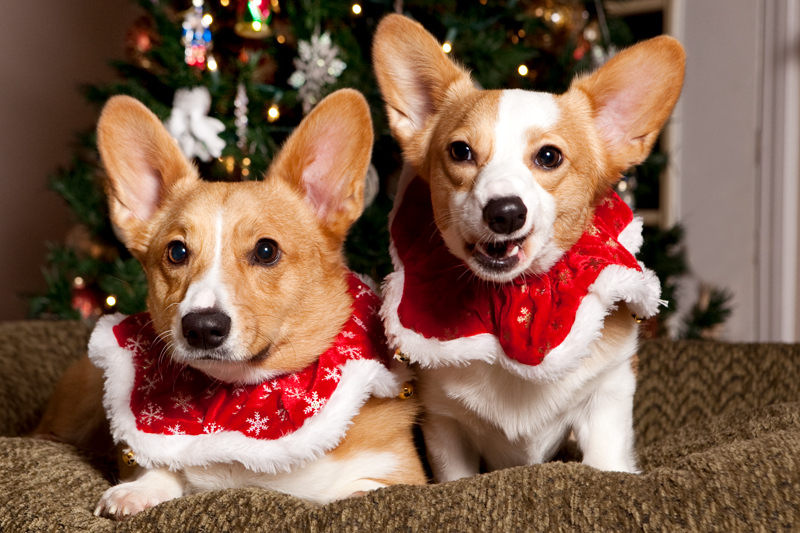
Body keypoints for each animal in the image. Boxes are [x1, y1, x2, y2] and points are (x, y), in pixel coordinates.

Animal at [33, 89, 424, 516]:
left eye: (267, 250)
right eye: (176, 252)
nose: (202, 328)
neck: (242, 398)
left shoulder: (399, 473)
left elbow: (357, 490)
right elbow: (160, 467)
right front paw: (135, 492)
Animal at [372, 14, 684, 480]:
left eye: (549, 157)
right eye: (460, 151)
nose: (504, 212)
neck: (512, 298)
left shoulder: (608, 393)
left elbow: (606, 460)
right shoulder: (445, 423)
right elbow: (455, 474)